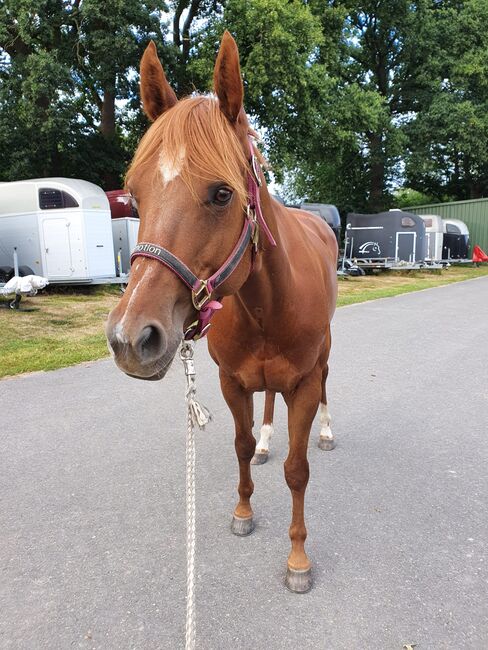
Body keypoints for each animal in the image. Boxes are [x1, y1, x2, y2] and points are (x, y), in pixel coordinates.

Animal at [105, 31, 338, 592]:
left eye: (221, 193)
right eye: (135, 196)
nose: (130, 338)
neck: (267, 303)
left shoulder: (302, 384)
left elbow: (297, 470)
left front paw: (298, 558)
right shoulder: (233, 382)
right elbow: (240, 445)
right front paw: (243, 510)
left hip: (324, 357)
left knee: (327, 386)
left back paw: (326, 431)